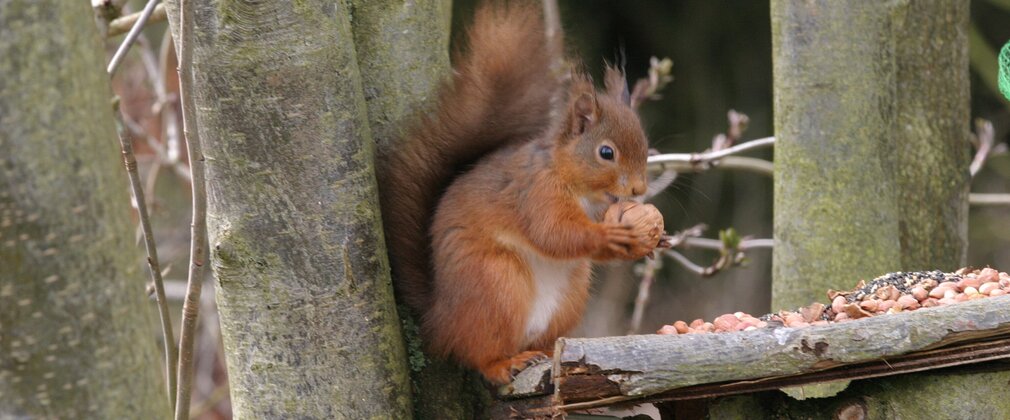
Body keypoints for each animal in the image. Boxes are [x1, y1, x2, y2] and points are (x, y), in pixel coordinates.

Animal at [378, 2, 654, 385]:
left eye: (645, 143)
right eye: (606, 153)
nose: (639, 188)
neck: (576, 184)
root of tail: (440, 319)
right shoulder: (536, 193)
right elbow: (554, 233)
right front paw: (609, 234)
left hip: (568, 296)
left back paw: (546, 354)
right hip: (496, 284)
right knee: (479, 352)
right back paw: (504, 363)